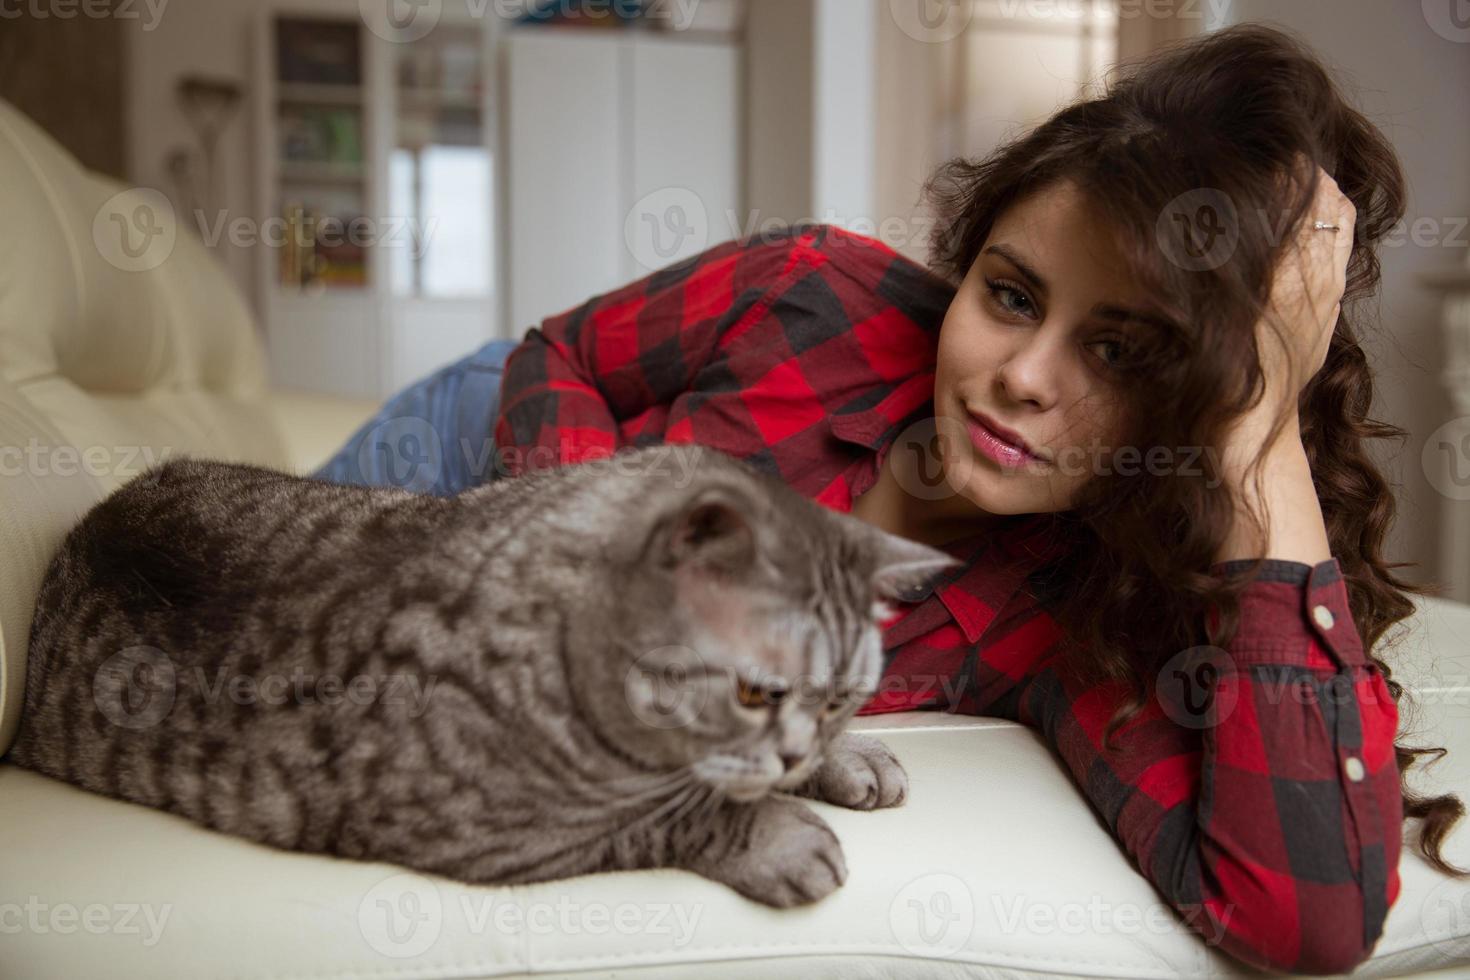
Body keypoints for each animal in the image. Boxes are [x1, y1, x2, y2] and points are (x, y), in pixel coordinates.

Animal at [8, 443, 952, 905]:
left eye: (841, 701)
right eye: (755, 692)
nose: (797, 755)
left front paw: (848, 759)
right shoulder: (494, 826)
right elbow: (673, 815)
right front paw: (780, 835)